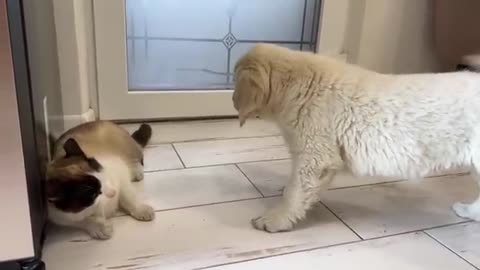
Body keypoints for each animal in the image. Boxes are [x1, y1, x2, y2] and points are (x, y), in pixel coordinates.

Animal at [234, 43, 480, 232]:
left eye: (236, 81)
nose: (233, 100)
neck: (298, 85)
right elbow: (297, 185)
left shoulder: (316, 155)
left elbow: (296, 191)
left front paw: (275, 219)